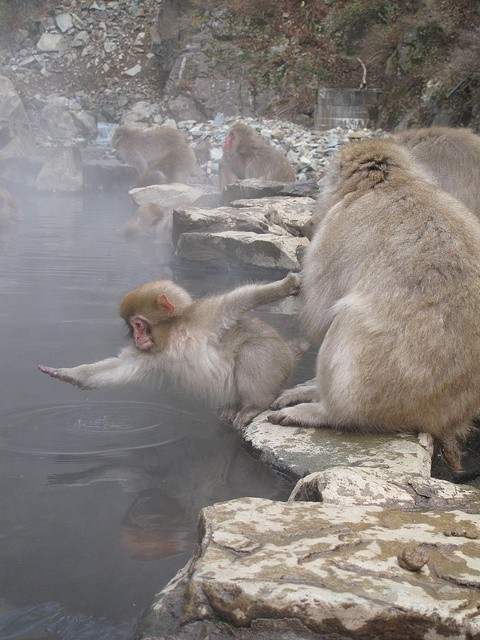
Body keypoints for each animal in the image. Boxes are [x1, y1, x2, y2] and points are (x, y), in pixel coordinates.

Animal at [39, 274, 306, 430]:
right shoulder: (151, 353)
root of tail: (288, 352)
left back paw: (254, 405)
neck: (171, 336)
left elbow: (238, 301)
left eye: (138, 325)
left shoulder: (204, 317)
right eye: (131, 328)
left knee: (252, 350)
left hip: (276, 358)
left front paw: (284, 286)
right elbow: (120, 367)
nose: (137, 338)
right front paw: (69, 374)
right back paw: (233, 406)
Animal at [268, 139, 480, 470]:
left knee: (346, 317)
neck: (390, 183)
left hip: (384, 399)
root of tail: (445, 419)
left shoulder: (334, 228)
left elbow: (318, 313)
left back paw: (324, 411)